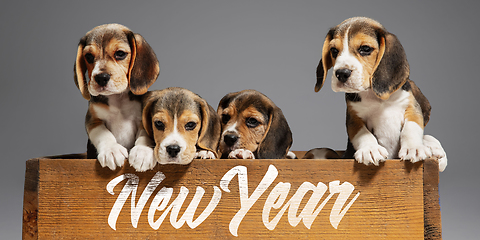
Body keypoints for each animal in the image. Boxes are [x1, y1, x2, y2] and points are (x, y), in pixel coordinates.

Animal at [73, 23, 159, 171]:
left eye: (120, 54)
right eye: (89, 56)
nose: (101, 78)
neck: (118, 99)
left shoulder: (142, 119)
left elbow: (144, 135)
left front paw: (143, 151)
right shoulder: (93, 120)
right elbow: (103, 133)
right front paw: (111, 150)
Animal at [316, 16, 446, 171]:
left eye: (365, 49)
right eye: (334, 51)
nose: (341, 73)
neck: (377, 98)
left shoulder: (411, 107)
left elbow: (412, 127)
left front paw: (413, 148)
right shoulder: (354, 117)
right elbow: (362, 133)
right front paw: (370, 149)